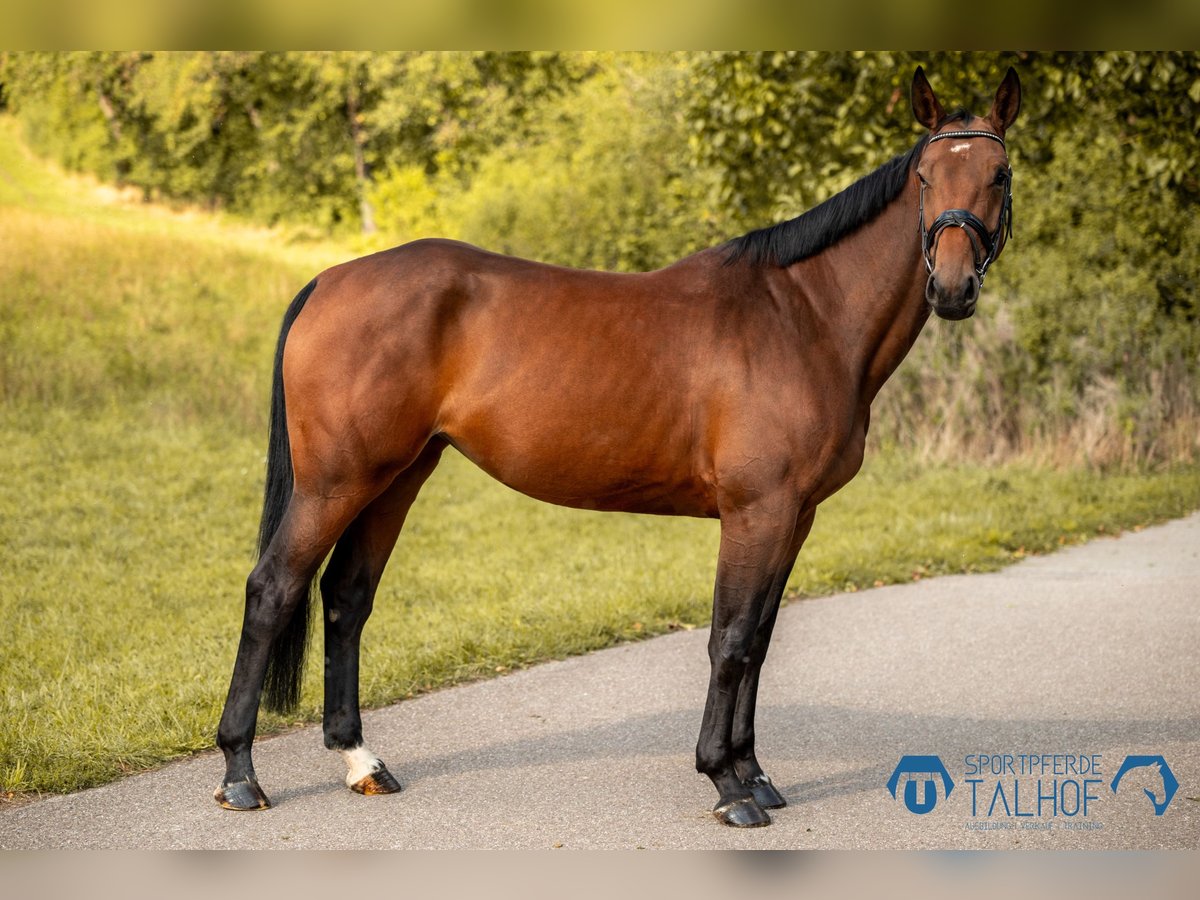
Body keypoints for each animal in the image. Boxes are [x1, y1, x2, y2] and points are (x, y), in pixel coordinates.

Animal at [218, 66, 1022, 830]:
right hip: (337, 481)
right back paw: (239, 775)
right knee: (272, 589)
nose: (953, 289)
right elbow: (731, 638)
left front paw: (756, 773)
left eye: (998, 174)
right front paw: (728, 785)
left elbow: (760, 639)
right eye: (925, 176)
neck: (805, 316)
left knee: (346, 598)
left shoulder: (797, 515)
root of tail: (331, 280)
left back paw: (361, 762)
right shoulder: (757, 511)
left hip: (397, 476)